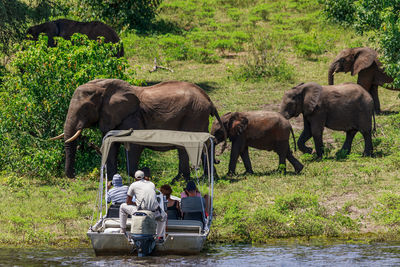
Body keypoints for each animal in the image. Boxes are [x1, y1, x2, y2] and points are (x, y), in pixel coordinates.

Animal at [50, 79, 225, 180]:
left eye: (86, 108)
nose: (72, 177)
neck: (103, 88)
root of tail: (209, 99)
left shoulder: (132, 117)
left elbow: (134, 144)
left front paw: (142, 173)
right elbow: (112, 145)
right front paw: (113, 179)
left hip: (194, 114)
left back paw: (190, 179)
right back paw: (194, 179)